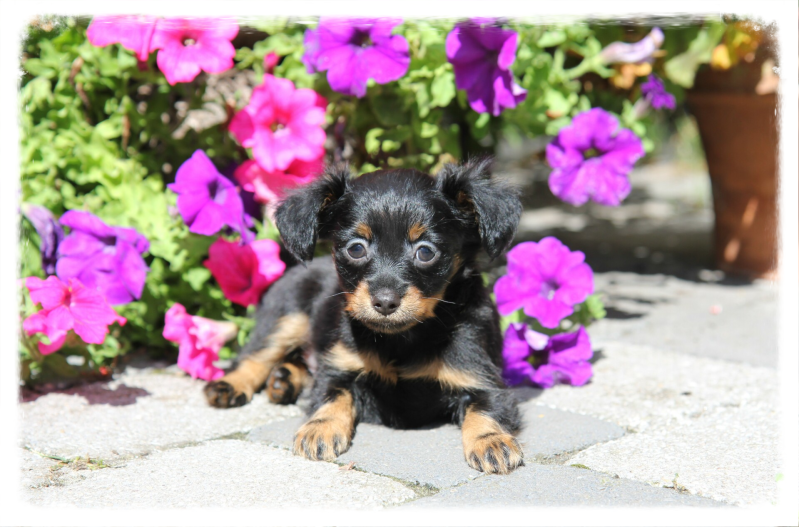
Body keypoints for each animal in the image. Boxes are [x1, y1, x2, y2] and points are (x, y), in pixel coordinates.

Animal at [203, 159, 525, 474]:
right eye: (356, 248)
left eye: (425, 252)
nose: (384, 302)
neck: (402, 339)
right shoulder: (339, 367)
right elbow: (331, 395)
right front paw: (320, 428)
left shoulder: (480, 375)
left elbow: (485, 408)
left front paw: (491, 441)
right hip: (286, 315)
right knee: (255, 356)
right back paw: (231, 385)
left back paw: (284, 380)